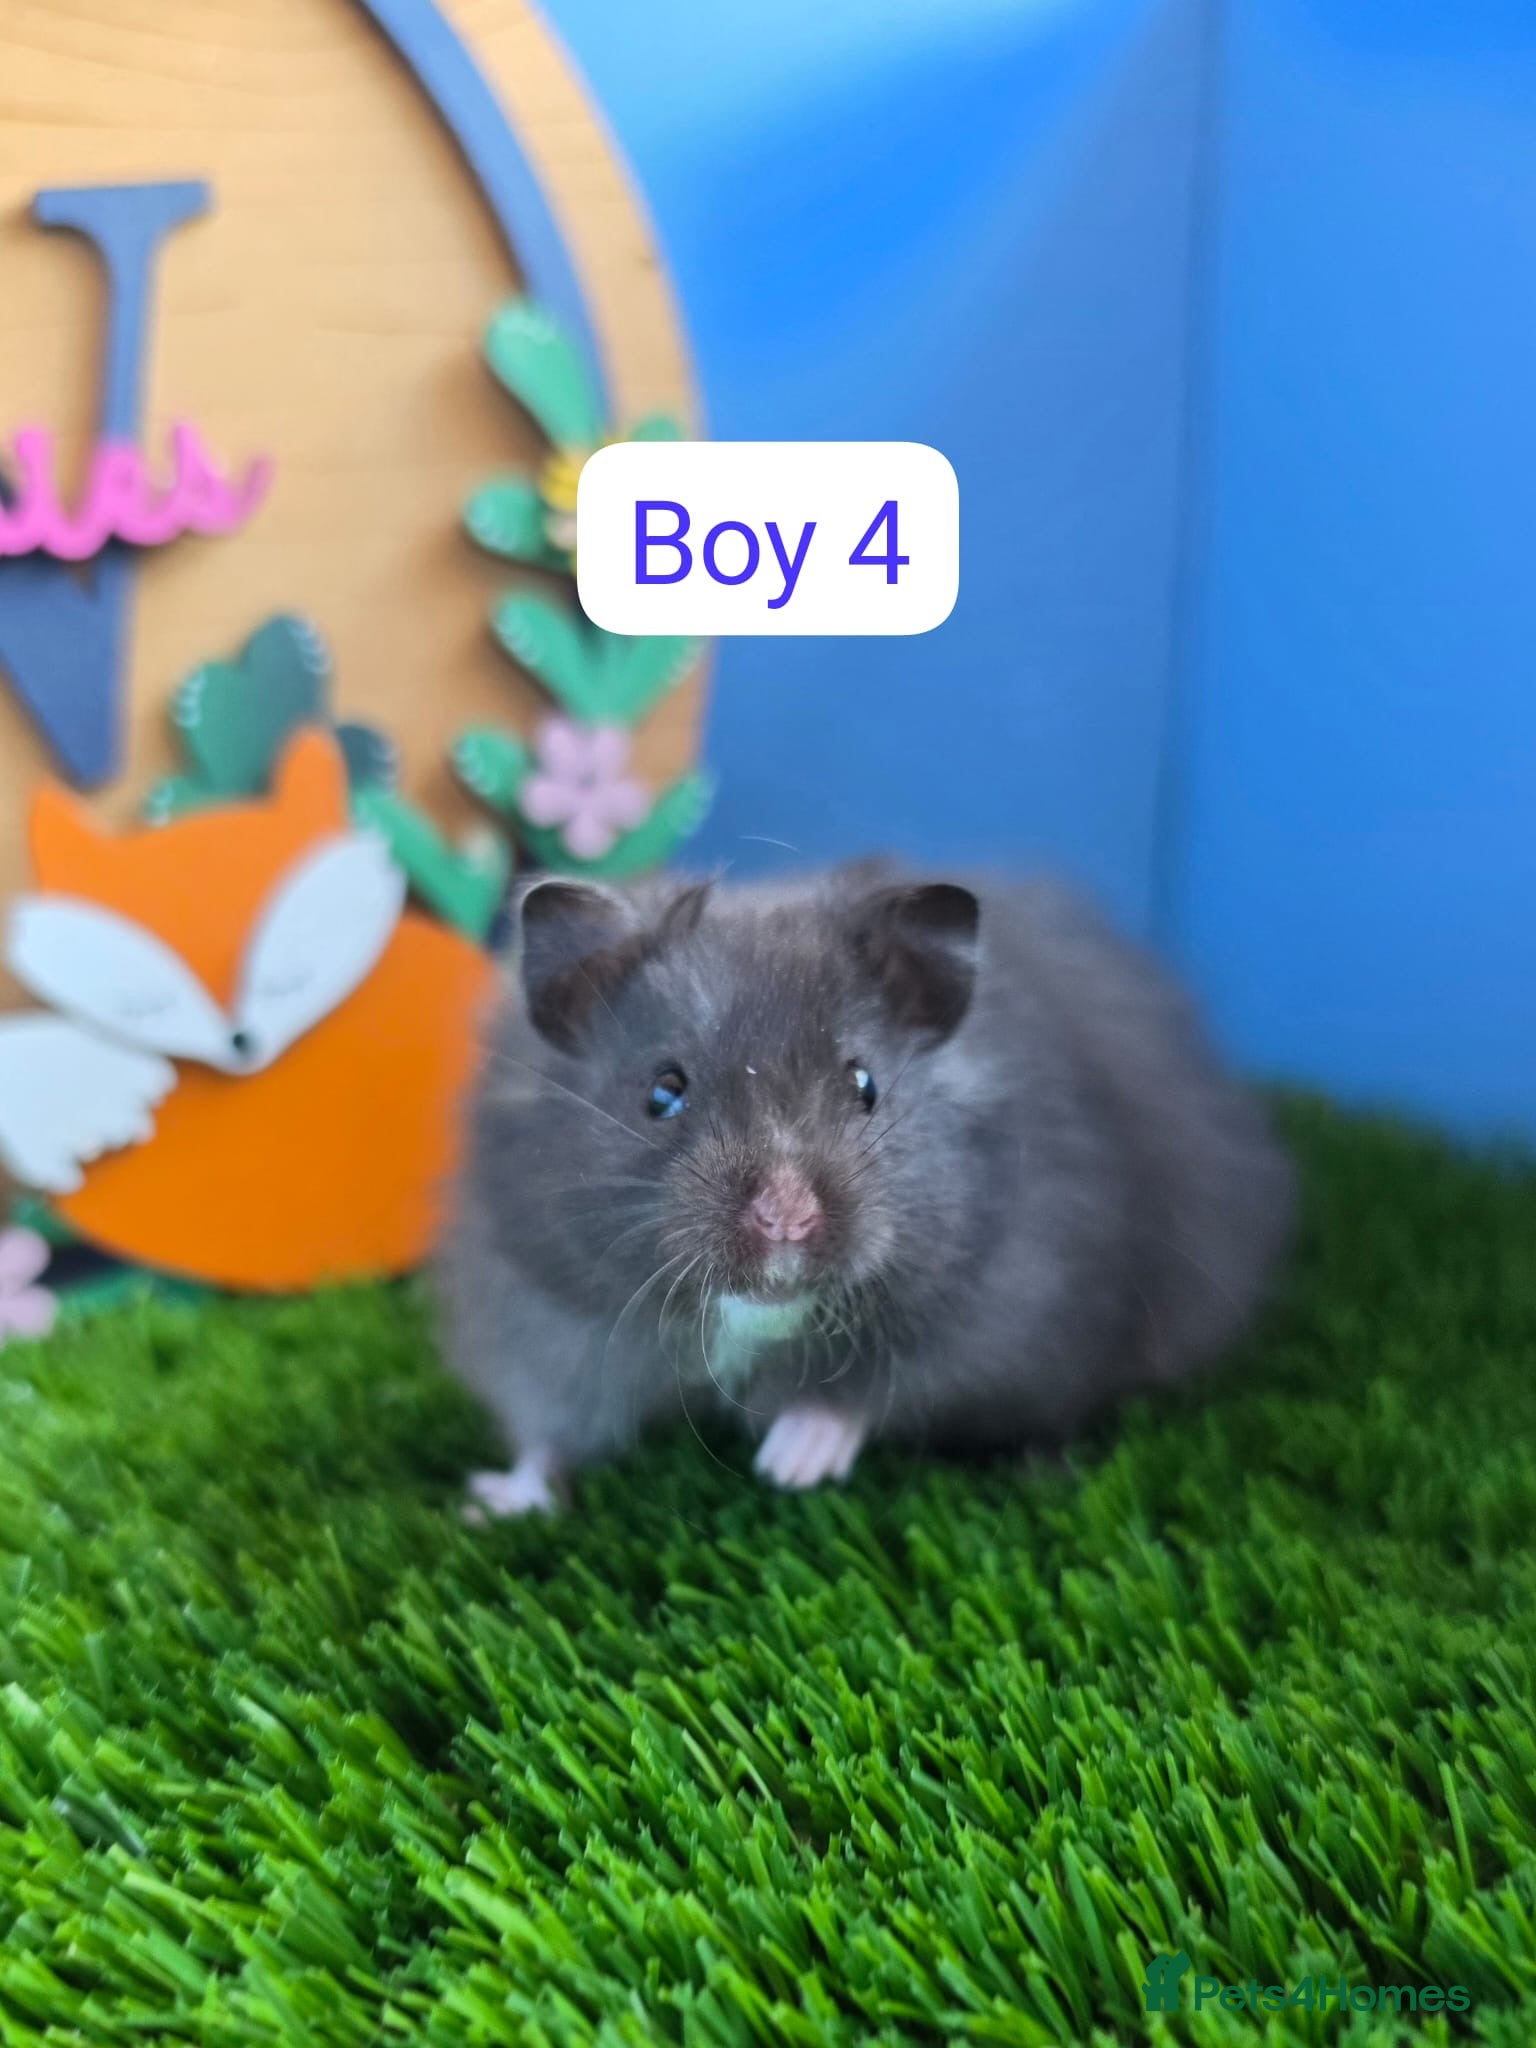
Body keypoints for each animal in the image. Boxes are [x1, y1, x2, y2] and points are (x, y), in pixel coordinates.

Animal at [437, 865, 1293, 1515]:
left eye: (865, 1084)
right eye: (662, 1092)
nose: (787, 1219)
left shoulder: (1001, 1311)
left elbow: (866, 1391)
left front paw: (787, 1465)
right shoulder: (535, 1314)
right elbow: (544, 1430)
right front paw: (489, 1502)